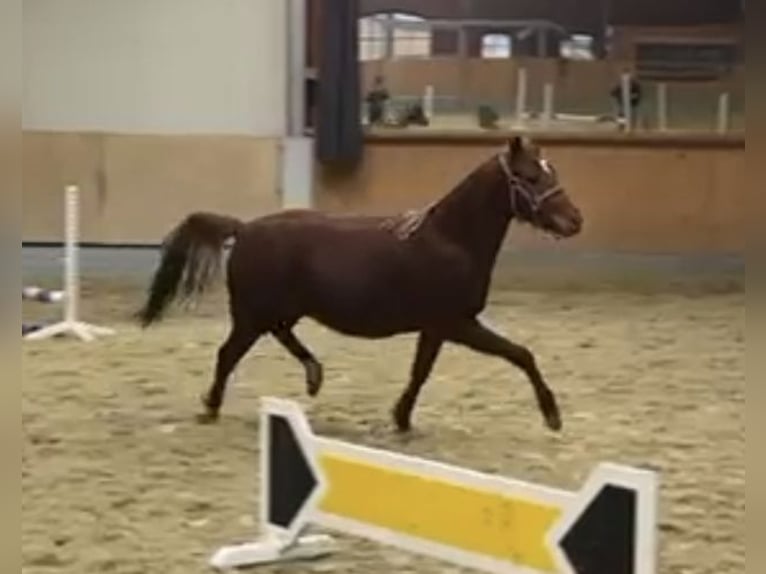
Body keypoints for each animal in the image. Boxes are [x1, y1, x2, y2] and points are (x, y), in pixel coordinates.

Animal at [136, 138, 584, 432]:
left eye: (552, 171)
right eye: (529, 176)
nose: (575, 221)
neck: (452, 239)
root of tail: (244, 229)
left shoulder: (436, 328)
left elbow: (421, 372)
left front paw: (401, 418)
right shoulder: (457, 324)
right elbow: (521, 354)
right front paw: (552, 415)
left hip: (276, 311)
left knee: (279, 336)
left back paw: (313, 374)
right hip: (251, 315)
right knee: (227, 355)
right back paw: (211, 407)